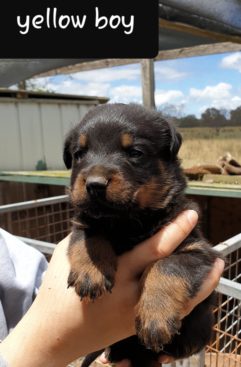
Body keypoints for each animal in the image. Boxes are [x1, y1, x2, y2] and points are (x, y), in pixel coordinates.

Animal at [64, 103, 220, 367]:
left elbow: (167, 266)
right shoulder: (84, 221)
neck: (128, 222)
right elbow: (89, 237)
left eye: (135, 152)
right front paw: (91, 272)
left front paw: (155, 316)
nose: (94, 184)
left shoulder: (197, 250)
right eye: (78, 154)